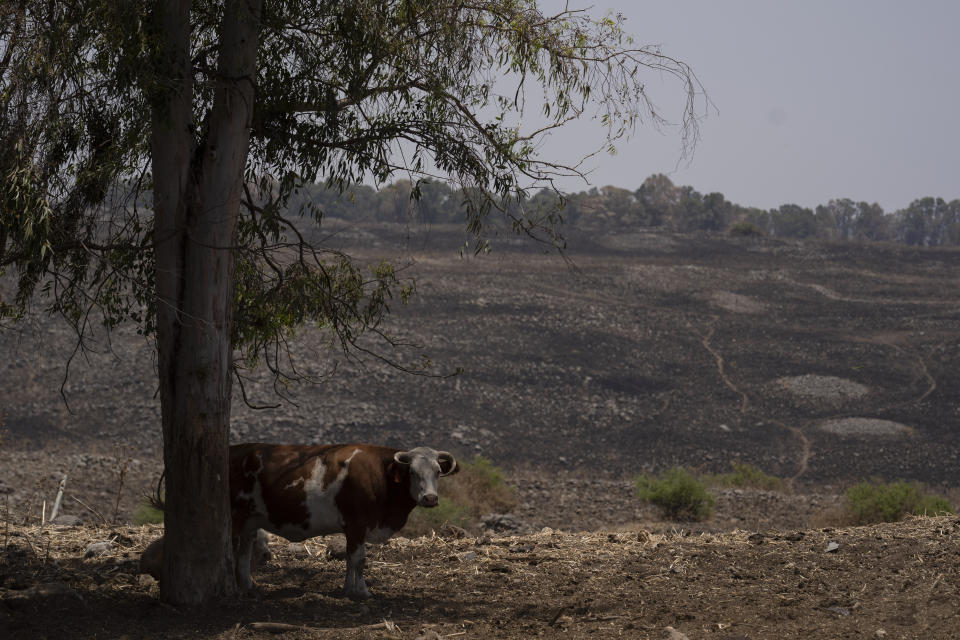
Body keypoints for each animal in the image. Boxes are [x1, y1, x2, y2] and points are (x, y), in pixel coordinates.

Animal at [231, 442, 460, 596]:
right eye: (412, 471)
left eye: (438, 471)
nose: (430, 498)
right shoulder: (358, 523)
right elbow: (359, 559)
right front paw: (362, 591)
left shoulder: (353, 529)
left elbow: (350, 558)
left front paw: (348, 589)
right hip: (236, 518)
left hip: (250, 521)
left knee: (244, 552)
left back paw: (249, 586)